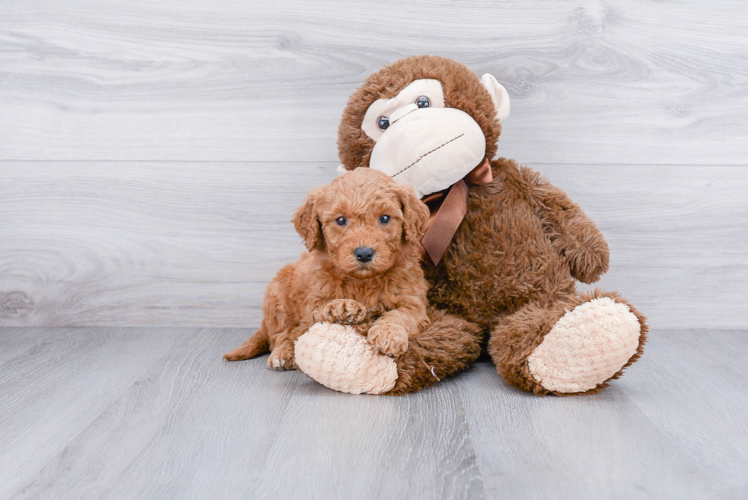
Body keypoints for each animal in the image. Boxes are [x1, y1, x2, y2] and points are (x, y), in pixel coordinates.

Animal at [222, 167, 430, 368]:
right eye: (341, 220)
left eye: (385, 218)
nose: (364, 253)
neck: (362, 281)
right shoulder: (312, 300)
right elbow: (318, 311)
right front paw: (341, 306)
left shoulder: (414, 303)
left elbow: (400, 315)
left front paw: (389, 334)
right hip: (278, 296)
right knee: (283, 335)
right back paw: (284, 353)